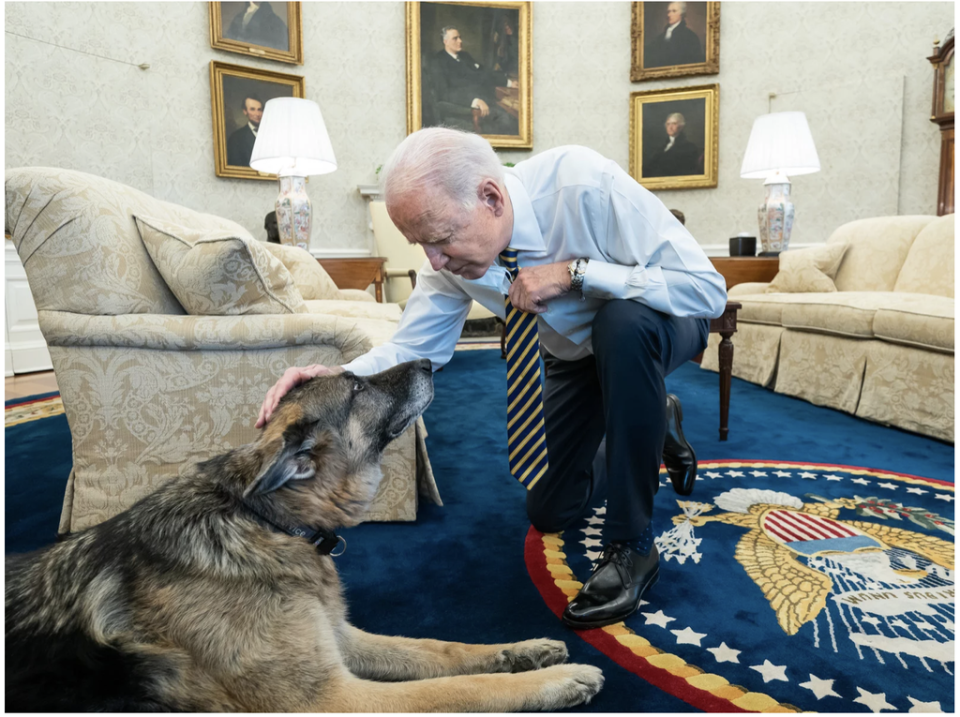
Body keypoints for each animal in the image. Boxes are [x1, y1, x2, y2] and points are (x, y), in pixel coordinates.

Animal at [7, 360, 604, 708]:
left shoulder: (340, 639)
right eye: (358, 385)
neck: (264, 522)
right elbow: (455, 687)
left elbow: (442, 649)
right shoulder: (334, 698)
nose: (430, 360)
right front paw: (552, 682)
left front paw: (521, 651)